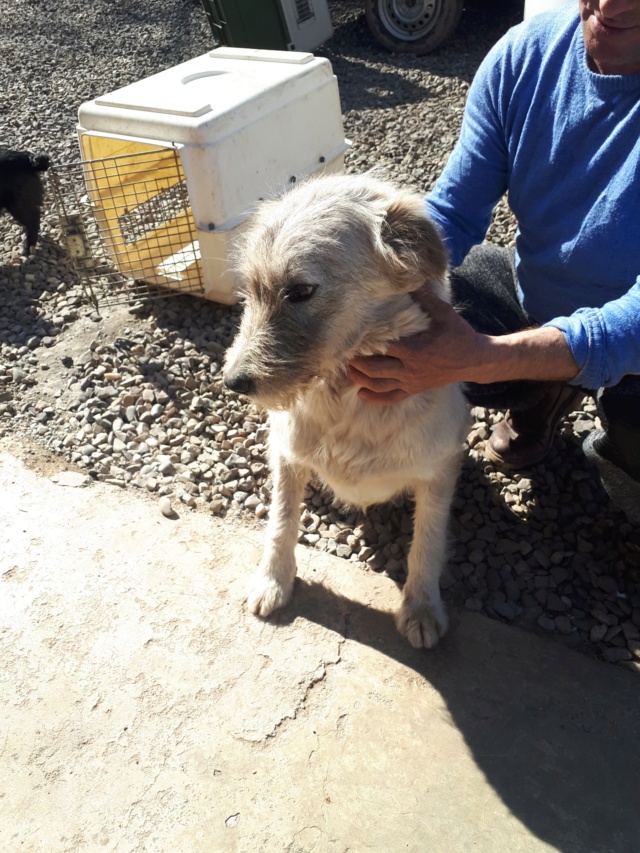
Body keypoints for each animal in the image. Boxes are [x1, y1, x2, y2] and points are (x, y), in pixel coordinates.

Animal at [222, 176, 468, 648]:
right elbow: (281, 520)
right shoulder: (286, 455)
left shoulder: (440, 470)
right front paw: (273, 581)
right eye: (249, 292)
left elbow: (427, 542)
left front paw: (421, 608)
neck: (348, 399)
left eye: (300, 291)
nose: (233, 381)